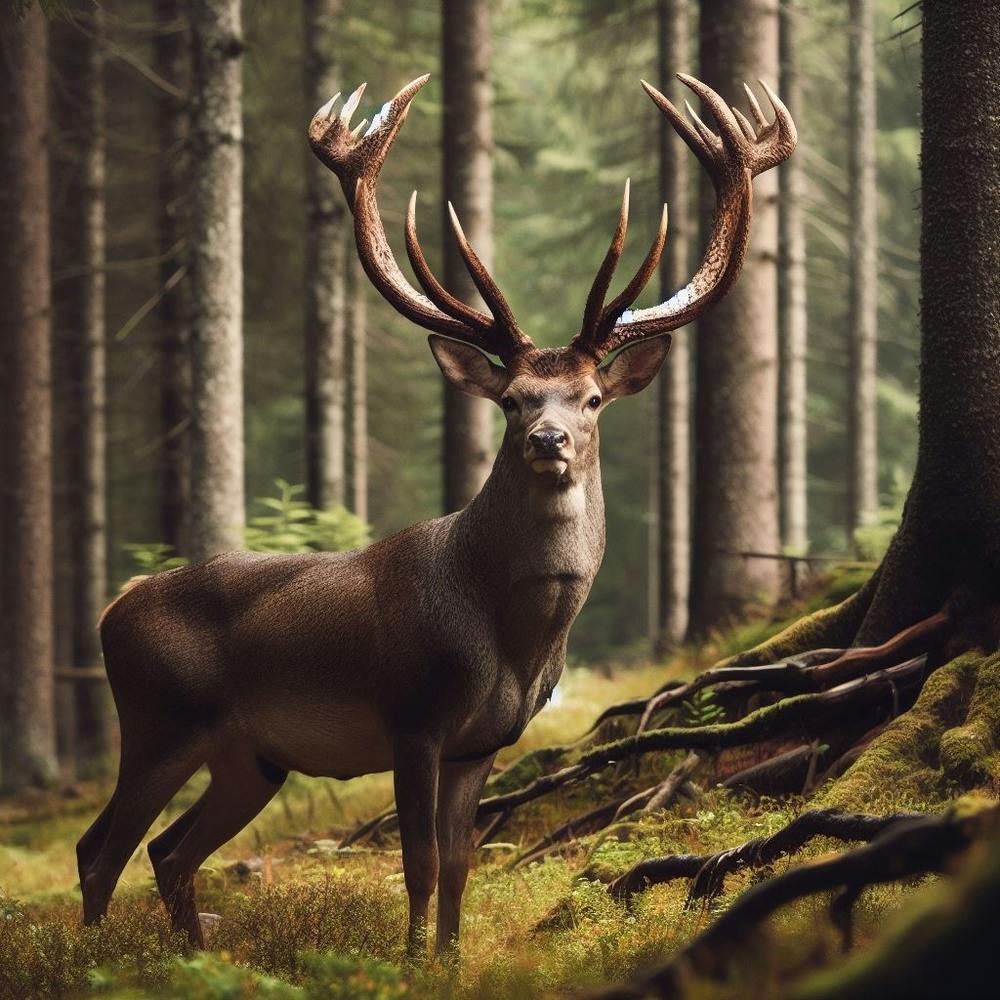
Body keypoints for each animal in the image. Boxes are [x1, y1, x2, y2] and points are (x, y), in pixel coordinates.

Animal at [77, 71, 795, 959]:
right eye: (514, 399)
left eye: (591, 398)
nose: (550, 440)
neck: (510, 636)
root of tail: (112, 610)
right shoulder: (412, 717)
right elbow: (416, 864)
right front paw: (412, 961)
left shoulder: (484, 742)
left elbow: (459, 866)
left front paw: (449, 960)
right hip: (158, 719)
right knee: (101, 847)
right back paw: (90, 962)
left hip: (250, 755)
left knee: (167, 850)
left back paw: (189, 957)